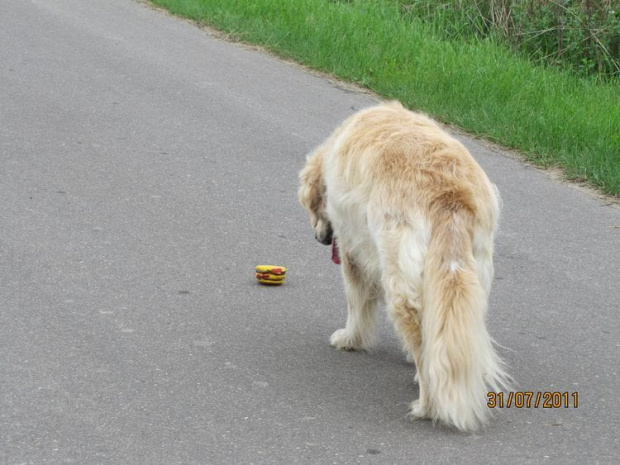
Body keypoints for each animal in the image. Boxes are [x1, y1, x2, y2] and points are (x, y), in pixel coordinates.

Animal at [300, 100, 508, 432]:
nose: (319, 239)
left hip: (400, 278)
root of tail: (449, 195)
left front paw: (349, 339)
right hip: (474, 270)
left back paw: (426, 406)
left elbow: (356, 302)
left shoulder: (352, 249)